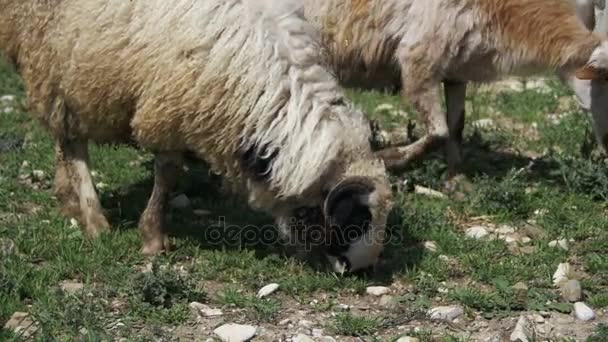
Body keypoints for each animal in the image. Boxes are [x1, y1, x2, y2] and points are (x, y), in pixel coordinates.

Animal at [0, 0, 394, 272]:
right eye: (356, 220)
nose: (358, 269)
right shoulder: (171, 108)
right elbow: (167, 174)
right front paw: (153, 238)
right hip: (55, 64)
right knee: (72, 144)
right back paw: (95, 220)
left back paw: (68, 200)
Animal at [304, 0, 608, 182]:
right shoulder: (419, 58)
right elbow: (439, 131)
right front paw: (389, 159)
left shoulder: (457, 68)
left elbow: (456, 127)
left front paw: (457, 179)